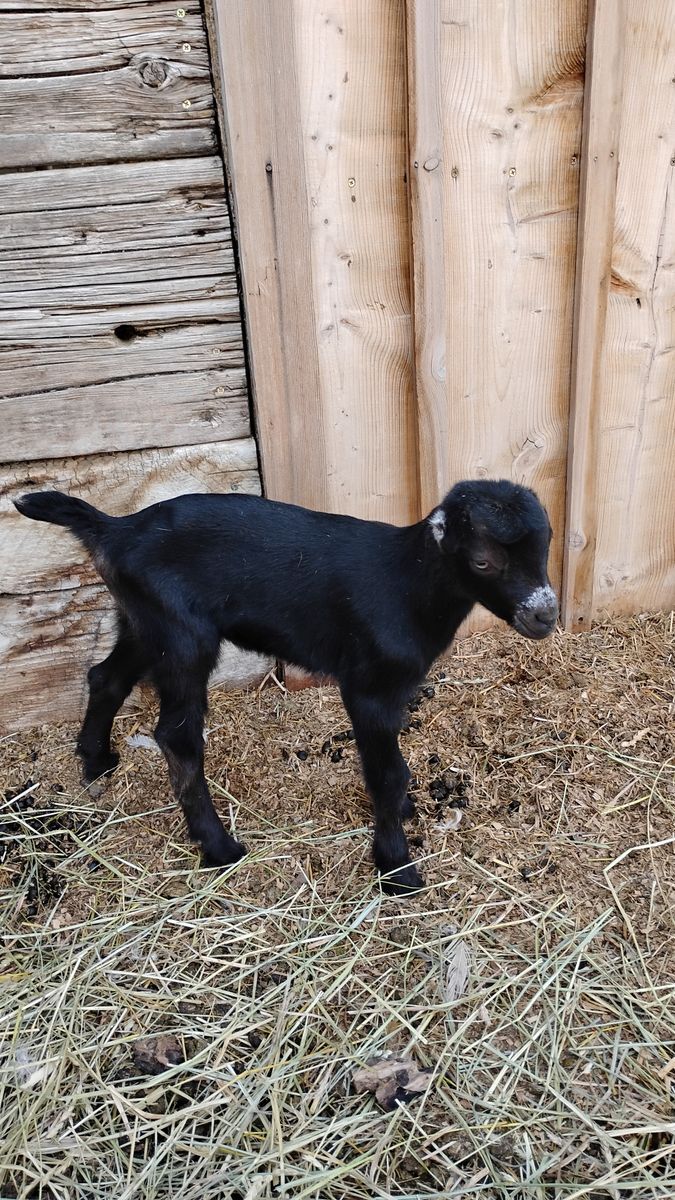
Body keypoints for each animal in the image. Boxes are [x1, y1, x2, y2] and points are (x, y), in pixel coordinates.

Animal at [15, 480, 558, 894]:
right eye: (484, 561)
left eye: (545, 549)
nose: (545, 615)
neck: (408, 585)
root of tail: (117, 529)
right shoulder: (369, 687)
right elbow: (388, 774)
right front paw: (396, 869)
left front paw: (403, 818)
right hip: (182, 634)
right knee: (176, 735)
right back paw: (219, 846)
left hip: (144, 622)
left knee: (106, 677)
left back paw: (96, 763)